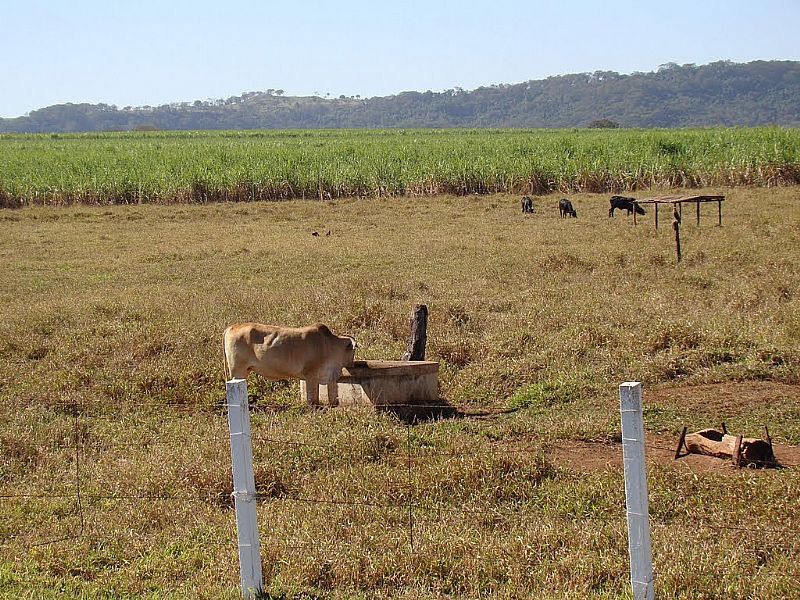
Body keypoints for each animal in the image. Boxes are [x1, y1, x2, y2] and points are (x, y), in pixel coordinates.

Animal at [220, 322, 354, 406]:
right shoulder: (311, 375)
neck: (329, 345)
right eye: (354, 350)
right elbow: (312, 397)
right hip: (238, 372)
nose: (352, 364)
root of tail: (232, 326)